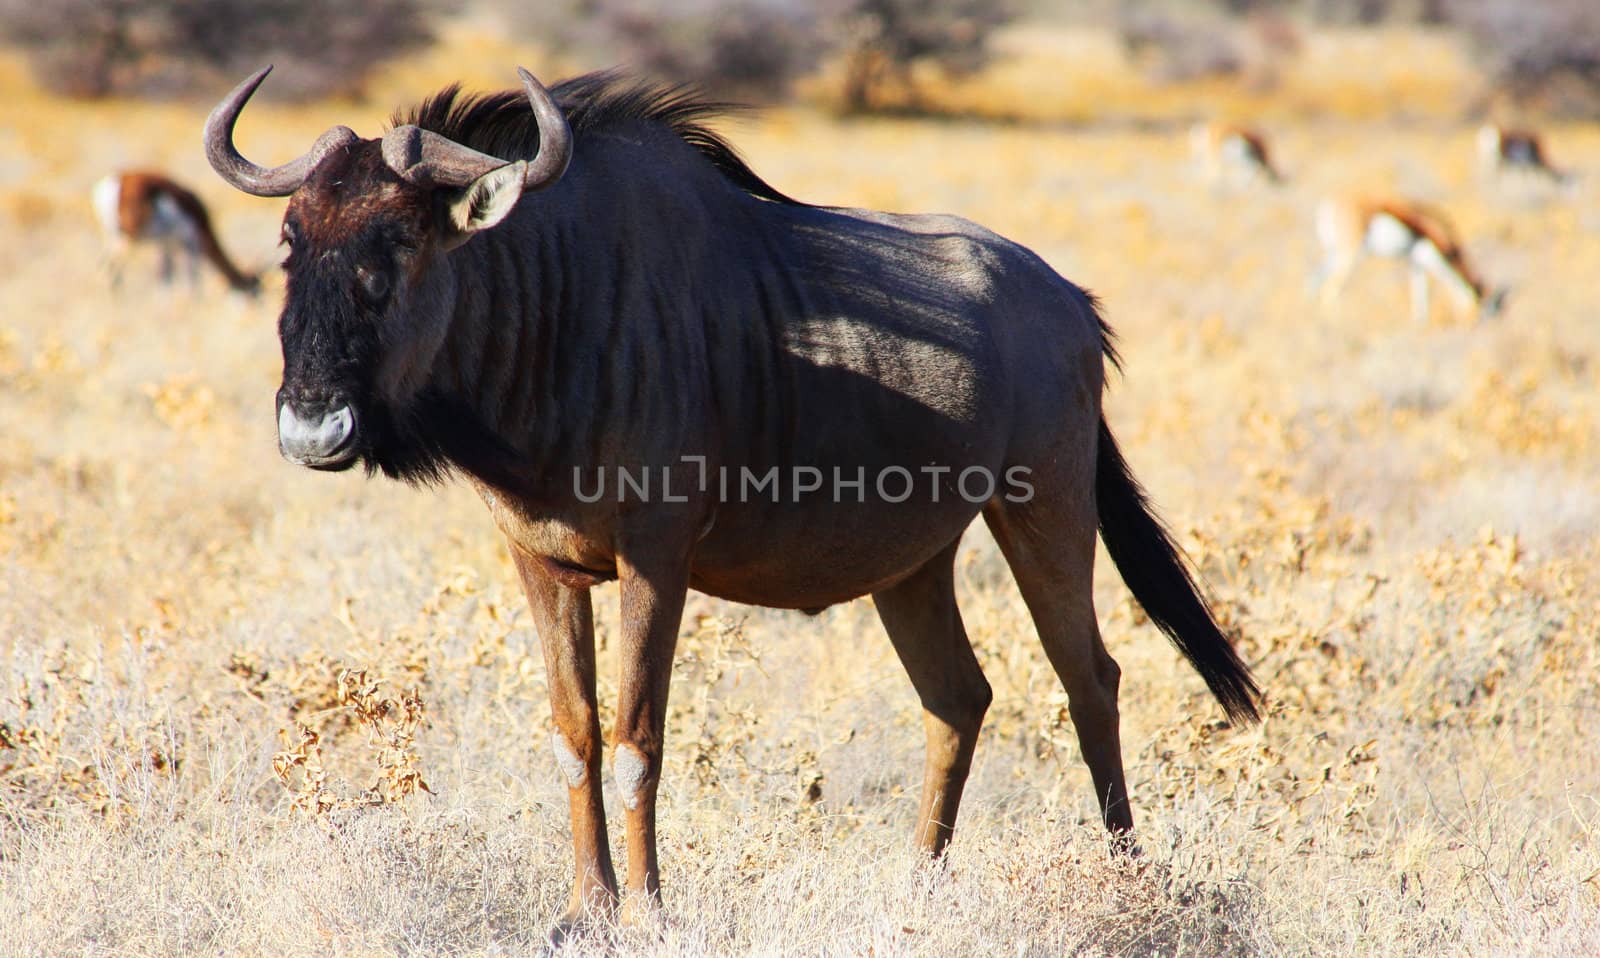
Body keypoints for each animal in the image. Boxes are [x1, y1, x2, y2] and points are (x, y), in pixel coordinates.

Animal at [91, 170, 259, 294]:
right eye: (255, 289)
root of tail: (114, 183)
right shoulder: (190, 243)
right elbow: (192, 277)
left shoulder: (167, 244)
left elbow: (166, 275)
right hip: (128, 239)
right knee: (111, 268)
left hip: (113, 236)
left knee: (104, 265)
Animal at [1312, 197, 1497, 326]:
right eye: (1480, 305)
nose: (1473, 324)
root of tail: (1328, 207)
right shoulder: (1426, 259)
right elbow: (1435, 288)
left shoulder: (1415, 262)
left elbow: (1420, 293)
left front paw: (1420, 323)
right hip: (1351, 255)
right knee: (1330, 289)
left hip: (1335, 254)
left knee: (1313, 280)